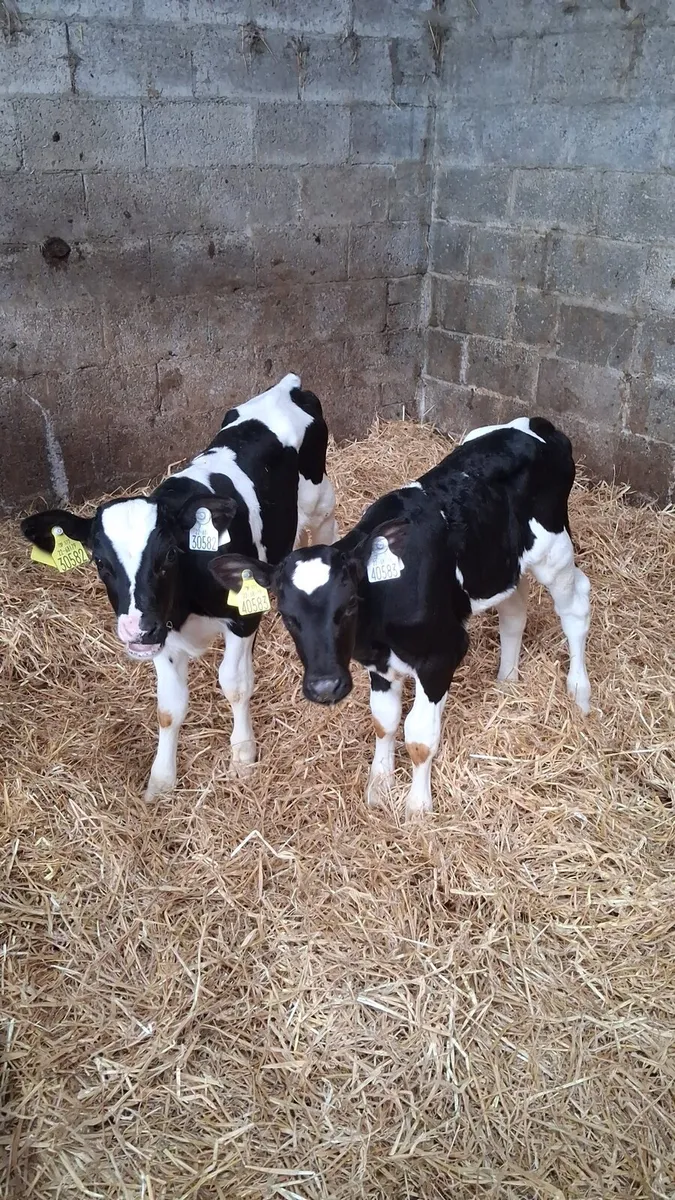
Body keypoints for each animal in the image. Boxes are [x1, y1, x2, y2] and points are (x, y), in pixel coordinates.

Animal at [21, 373, 337, 799]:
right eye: (100, 562)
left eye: (169, 554)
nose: (135, 628)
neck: (186, 600)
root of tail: (287, 385)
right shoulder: (161, 634)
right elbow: (169, 708)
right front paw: (161, 779)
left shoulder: (240, 618)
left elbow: (234, 683)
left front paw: (242, 754)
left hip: (321, 503)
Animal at [208, 416, 591, 818]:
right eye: (286, 614)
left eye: (349, 603)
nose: (325, 687)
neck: (378, 624)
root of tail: (538, 425)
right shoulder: (377, 663)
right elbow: (384, 722)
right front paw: (379, 786)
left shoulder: (442, 655)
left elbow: (420, 737)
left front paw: (418, 807)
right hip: (501, 564)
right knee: (514, 610)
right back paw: (507, 681)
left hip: (555, 552)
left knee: (576, 606)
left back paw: (579, 693)